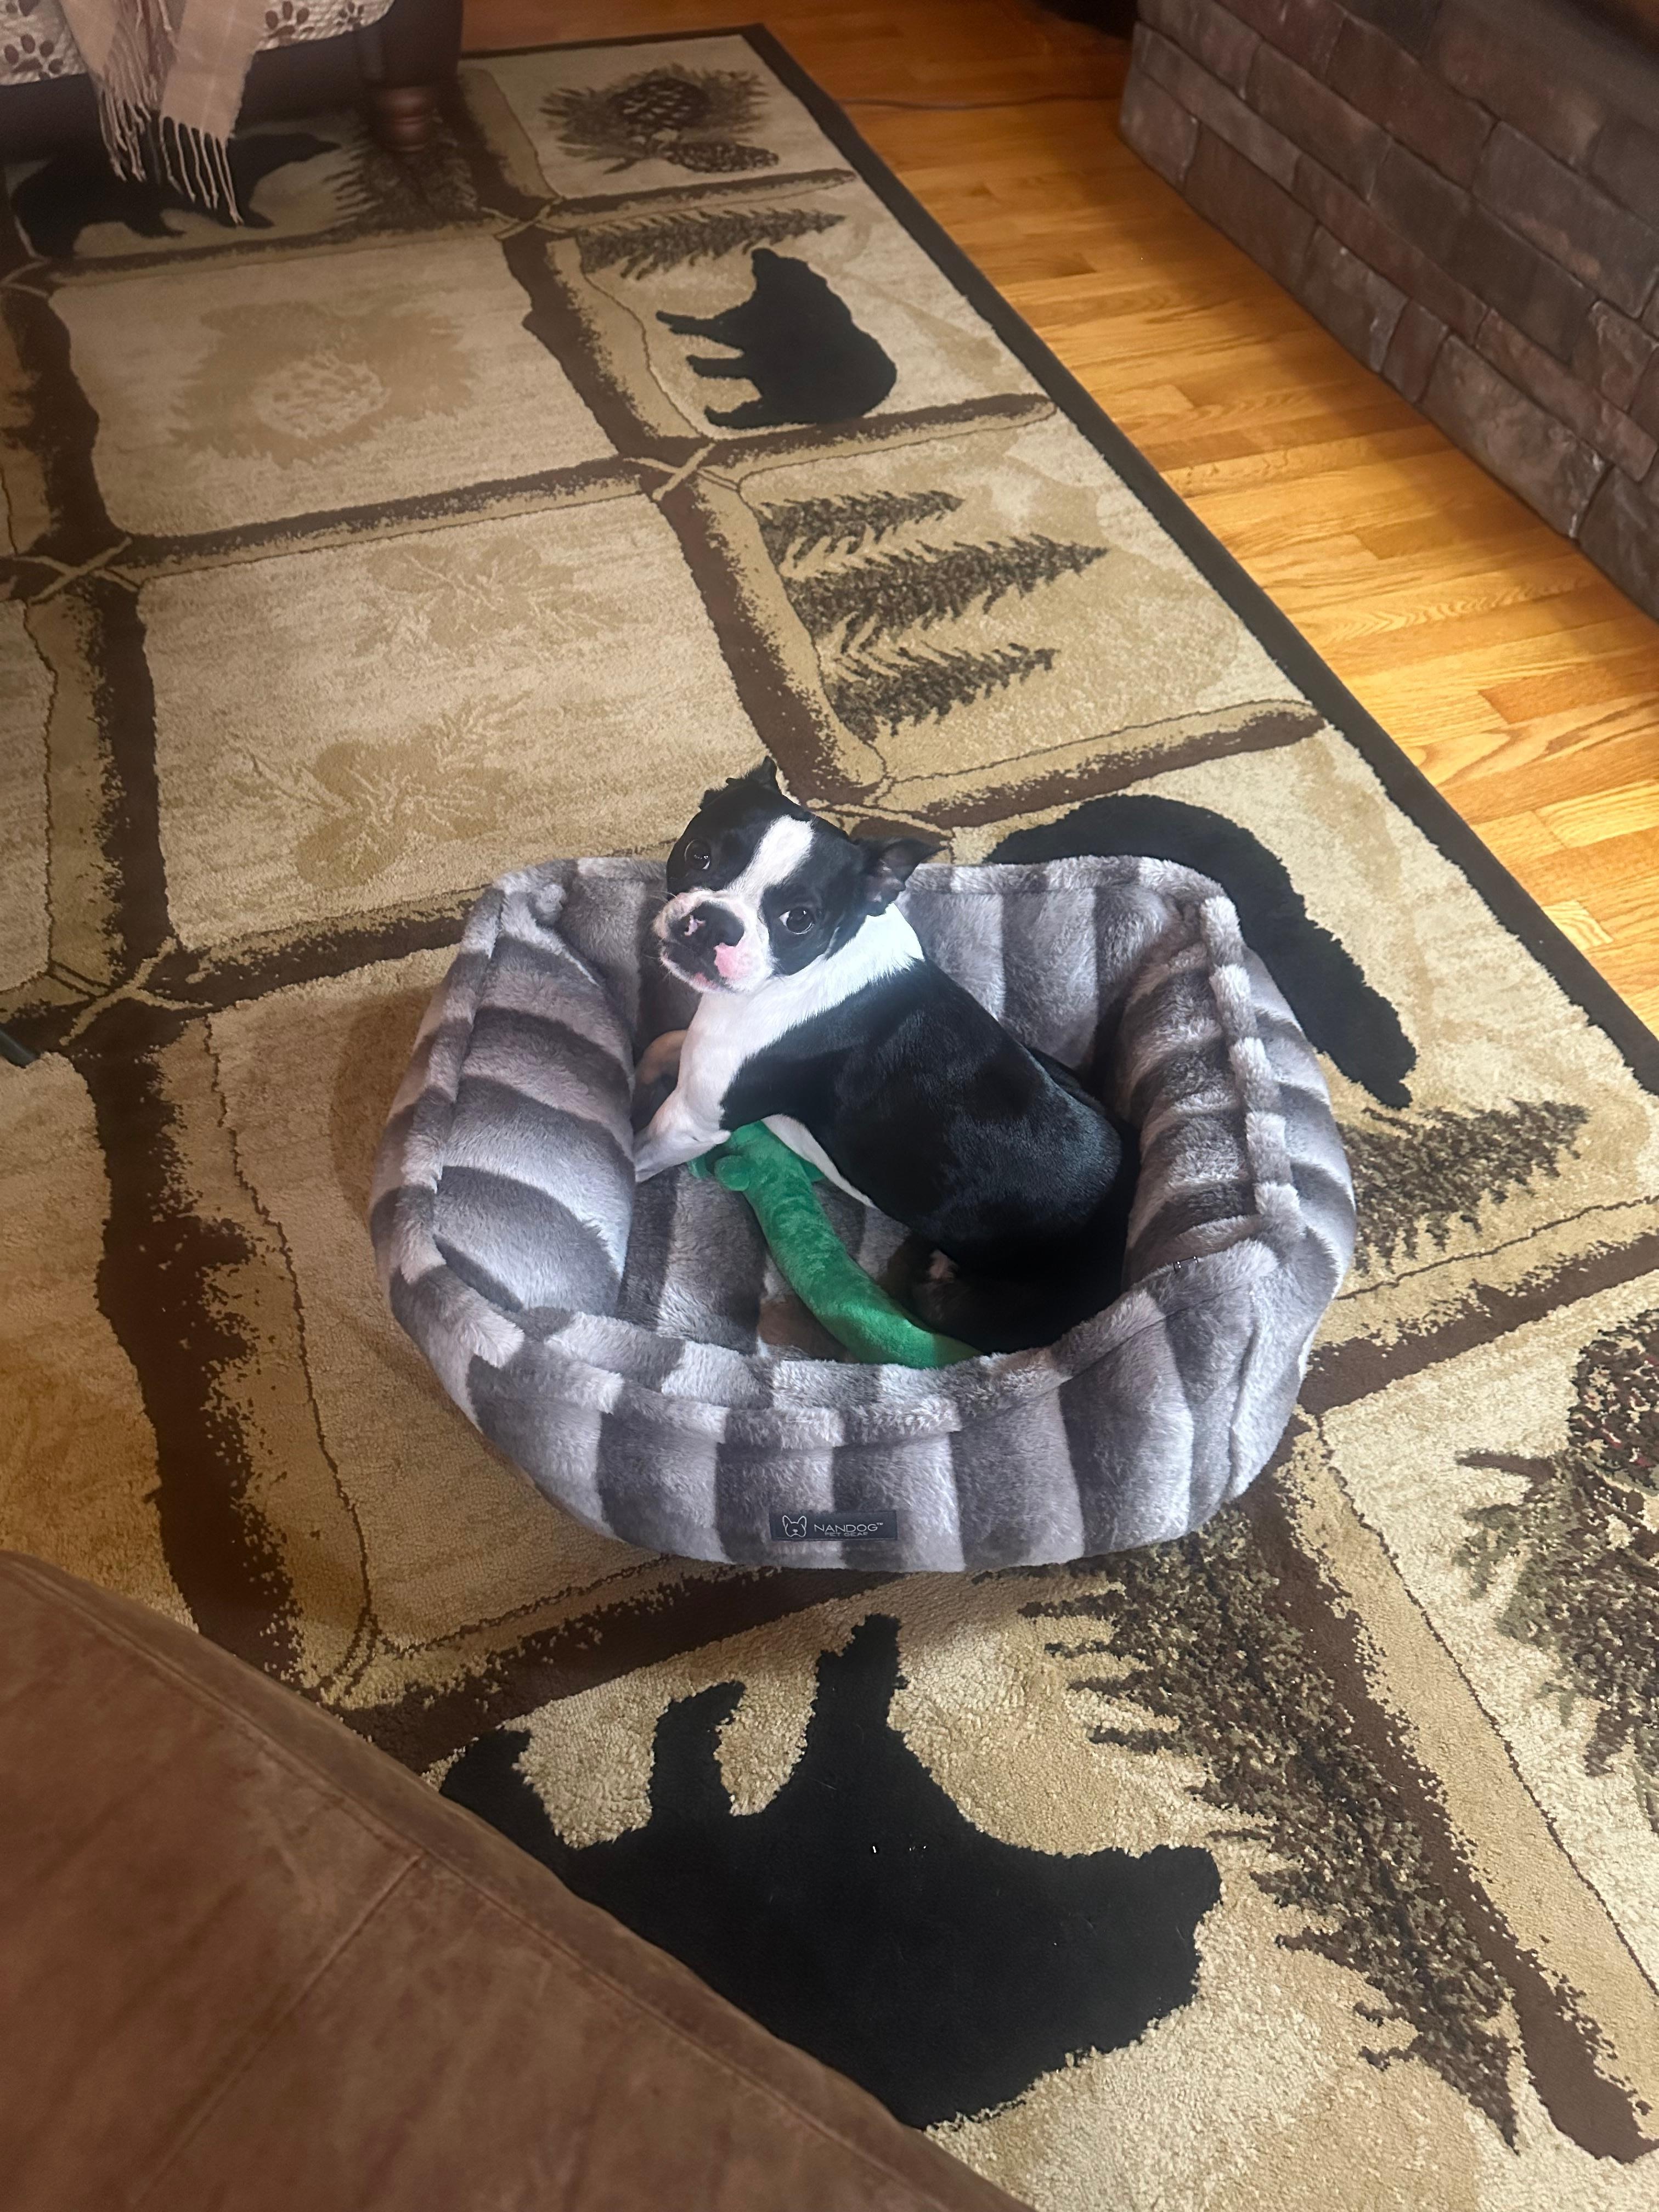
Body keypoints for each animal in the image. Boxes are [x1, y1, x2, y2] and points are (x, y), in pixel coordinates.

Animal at [633, 762, 1137, 1353]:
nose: (715, 921)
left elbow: (642, 1152)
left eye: (799, 919)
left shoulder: (695, 1120)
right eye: (699, 854)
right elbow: (670, 1039)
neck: (824, 962)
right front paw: (644, 1068)